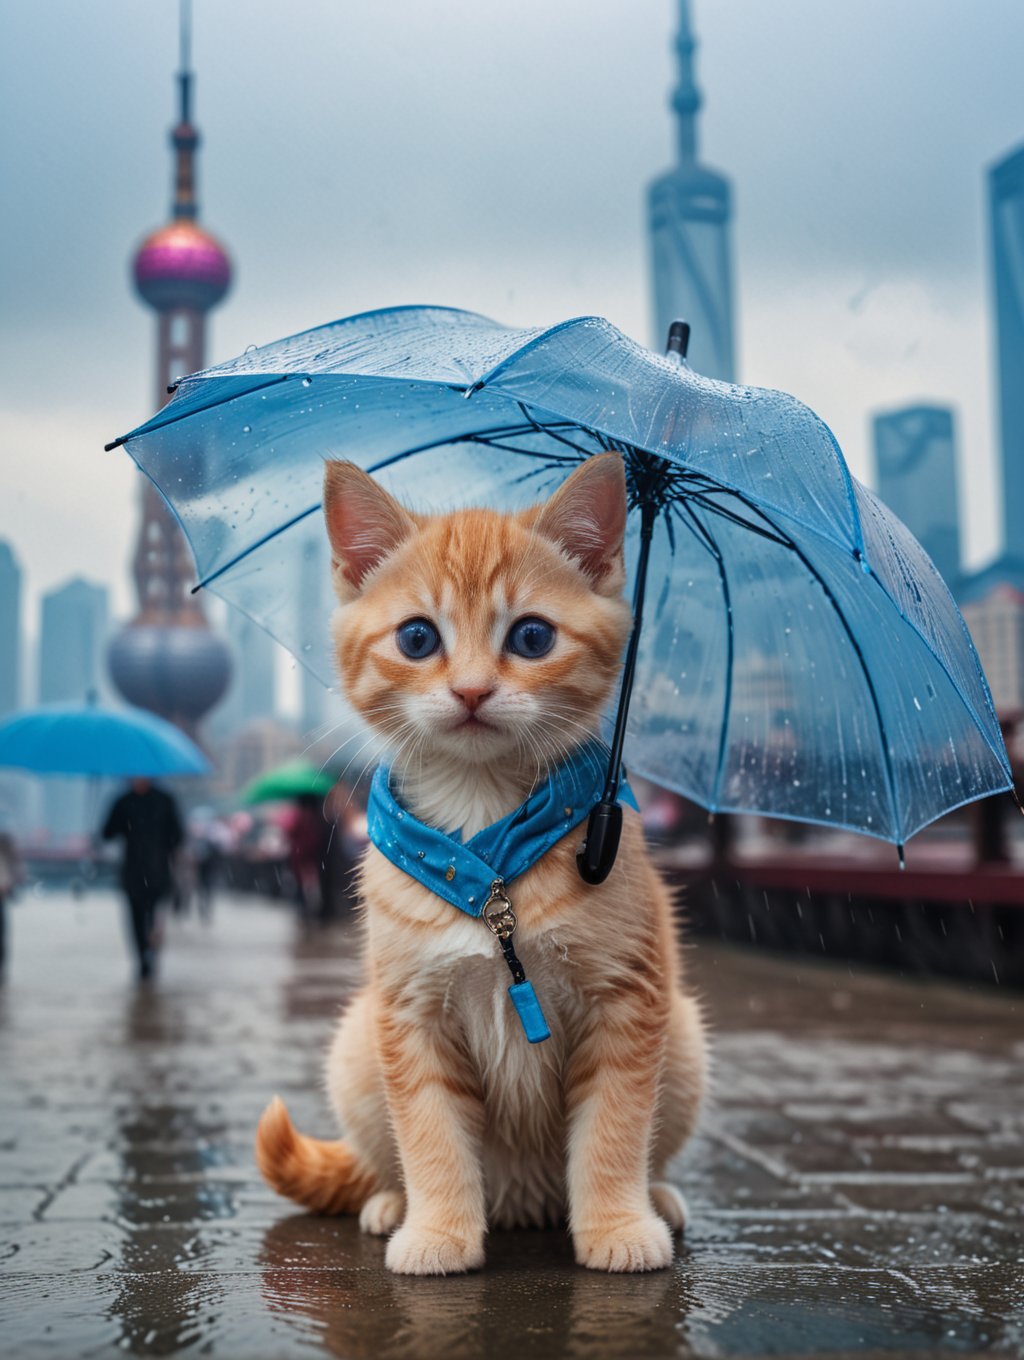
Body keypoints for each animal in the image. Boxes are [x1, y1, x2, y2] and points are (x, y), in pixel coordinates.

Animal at [255, 454, 707, 1272]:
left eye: (531, 637)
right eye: (416, 637)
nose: (470, 690)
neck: (486, 841)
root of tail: (525, 1201)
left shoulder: (628, 1001)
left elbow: (616, 1125)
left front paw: (616, 1224)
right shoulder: (408, 1015)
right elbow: (430, 1131)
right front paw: (438, 1231)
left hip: (683, 1036)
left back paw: (653, 1197)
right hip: (356, 1045)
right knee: (385, 1154)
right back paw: (391, 1201)